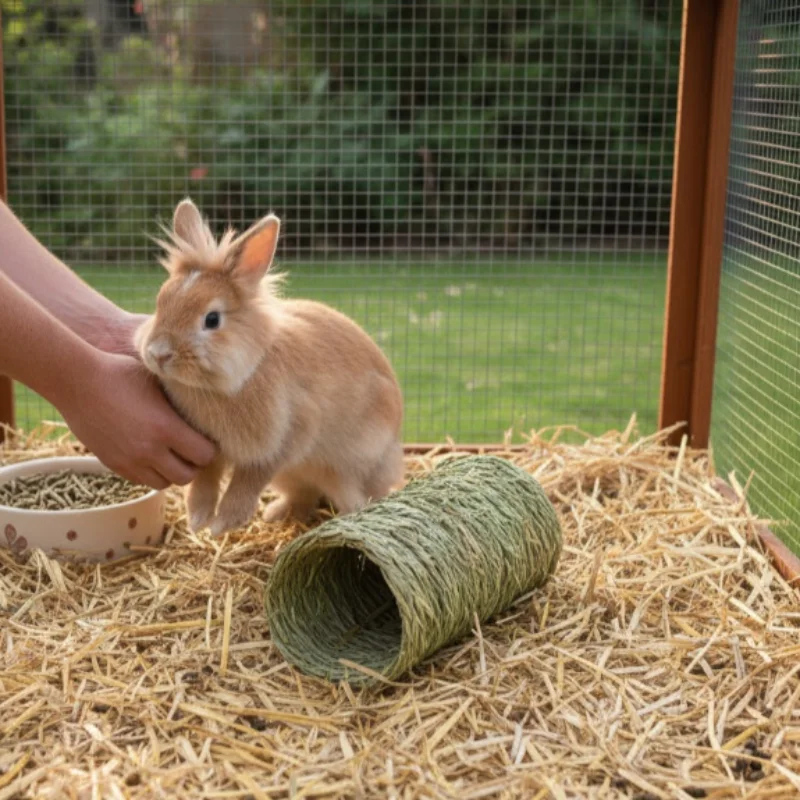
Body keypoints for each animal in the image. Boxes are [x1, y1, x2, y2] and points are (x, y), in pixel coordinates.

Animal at [134, 198, 405, 536]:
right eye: (160, 304)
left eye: (212, 319)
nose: (158, 354)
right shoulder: (209, 448)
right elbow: (206, 478)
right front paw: (197, 518)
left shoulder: (283, 440)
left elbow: (248, 481)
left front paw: (222, 524)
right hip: (292, 476)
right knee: (304, 496)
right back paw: (275, 513)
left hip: (343, 470)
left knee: (355, 499)